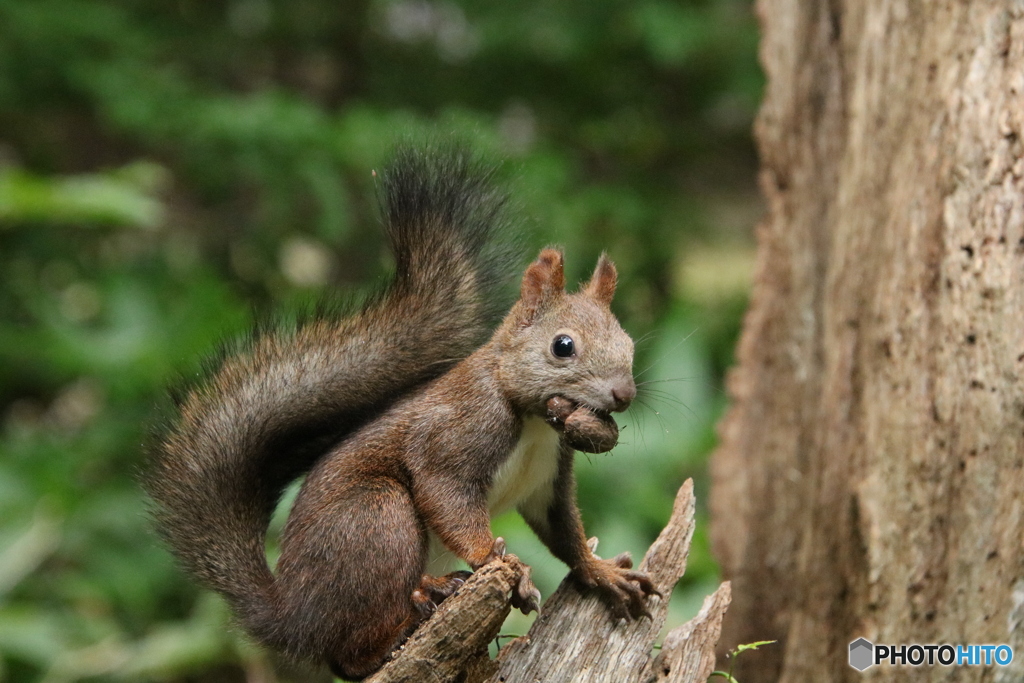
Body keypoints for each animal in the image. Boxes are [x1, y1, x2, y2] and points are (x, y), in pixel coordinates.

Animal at [144, 144, 655, 679]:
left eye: (627, 344)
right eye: (563, 346)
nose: (623, 394)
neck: (535, 422)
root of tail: (291, 616)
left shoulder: (547, 480)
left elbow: (564, 532)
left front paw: (603, 574)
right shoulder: (454, 432)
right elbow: (443, 492)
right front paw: (496, 559)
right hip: (378, 520)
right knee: (351, 652)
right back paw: (412, 616)